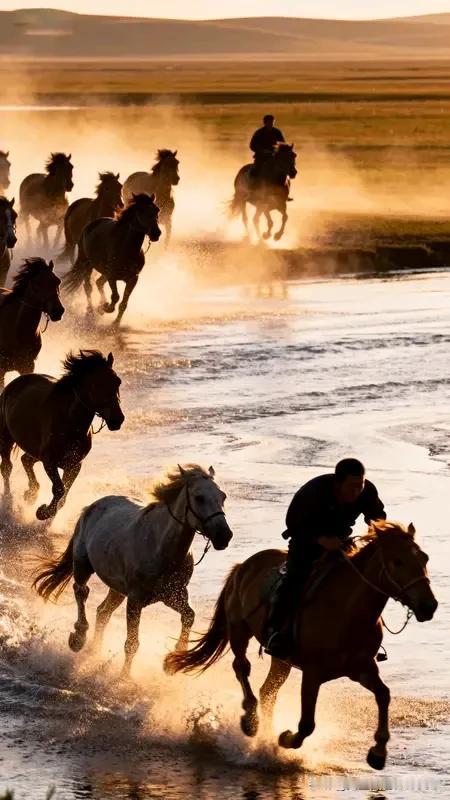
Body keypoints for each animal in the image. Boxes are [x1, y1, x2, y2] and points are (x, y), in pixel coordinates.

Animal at [0, 349, 124, 520]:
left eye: (117, 382)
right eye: (96, 384)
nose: (117, 419)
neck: (70, 422)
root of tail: (11, 385)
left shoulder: (73, 464)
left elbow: (63, 496)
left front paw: (46, 512)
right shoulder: (49, 461)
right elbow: (59, 489)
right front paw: (43, 512)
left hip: (36, 451)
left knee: (26, 460)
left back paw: (30, 493)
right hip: (6, 439)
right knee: (6, 468)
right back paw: (9, 501)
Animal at [33, 464, 233, 677]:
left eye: (222, 496)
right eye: (199, 497)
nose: (224, 535)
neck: (160, 547)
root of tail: (91, 507)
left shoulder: (173, 595)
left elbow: (189, 616)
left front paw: (172, 661)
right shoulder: (135, 599)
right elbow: (131, 643)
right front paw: (124, 677)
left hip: (117, 589)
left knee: (102, 612)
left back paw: (95, 650)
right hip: (82, 564)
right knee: (81, 592)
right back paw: (78, 638)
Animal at [62, 193, 161, 326]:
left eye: (156, 210)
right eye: (142, 211)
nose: (156, 233)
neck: (126, 246)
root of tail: (90, 225)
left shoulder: (133, 279)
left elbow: (123, 303)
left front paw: (116, 323)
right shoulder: (112, 275)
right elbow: (115, 297)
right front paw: (106, 308)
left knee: (98, 282)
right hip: (87, 264)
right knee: (88, 287)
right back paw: (91, 311)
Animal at [166, 520, 437, 770]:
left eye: (424, 558)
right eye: (398, 562)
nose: (429, 605)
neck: (347, 611)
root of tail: (242, 567)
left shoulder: (362, 668)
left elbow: (383, 695)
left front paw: (378, 753)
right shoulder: (313, 673)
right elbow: (307, 724)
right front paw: (285, 738)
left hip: (281, 659)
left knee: (267, 691)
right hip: (239, 629)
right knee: (242, 668)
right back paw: (251, 722)